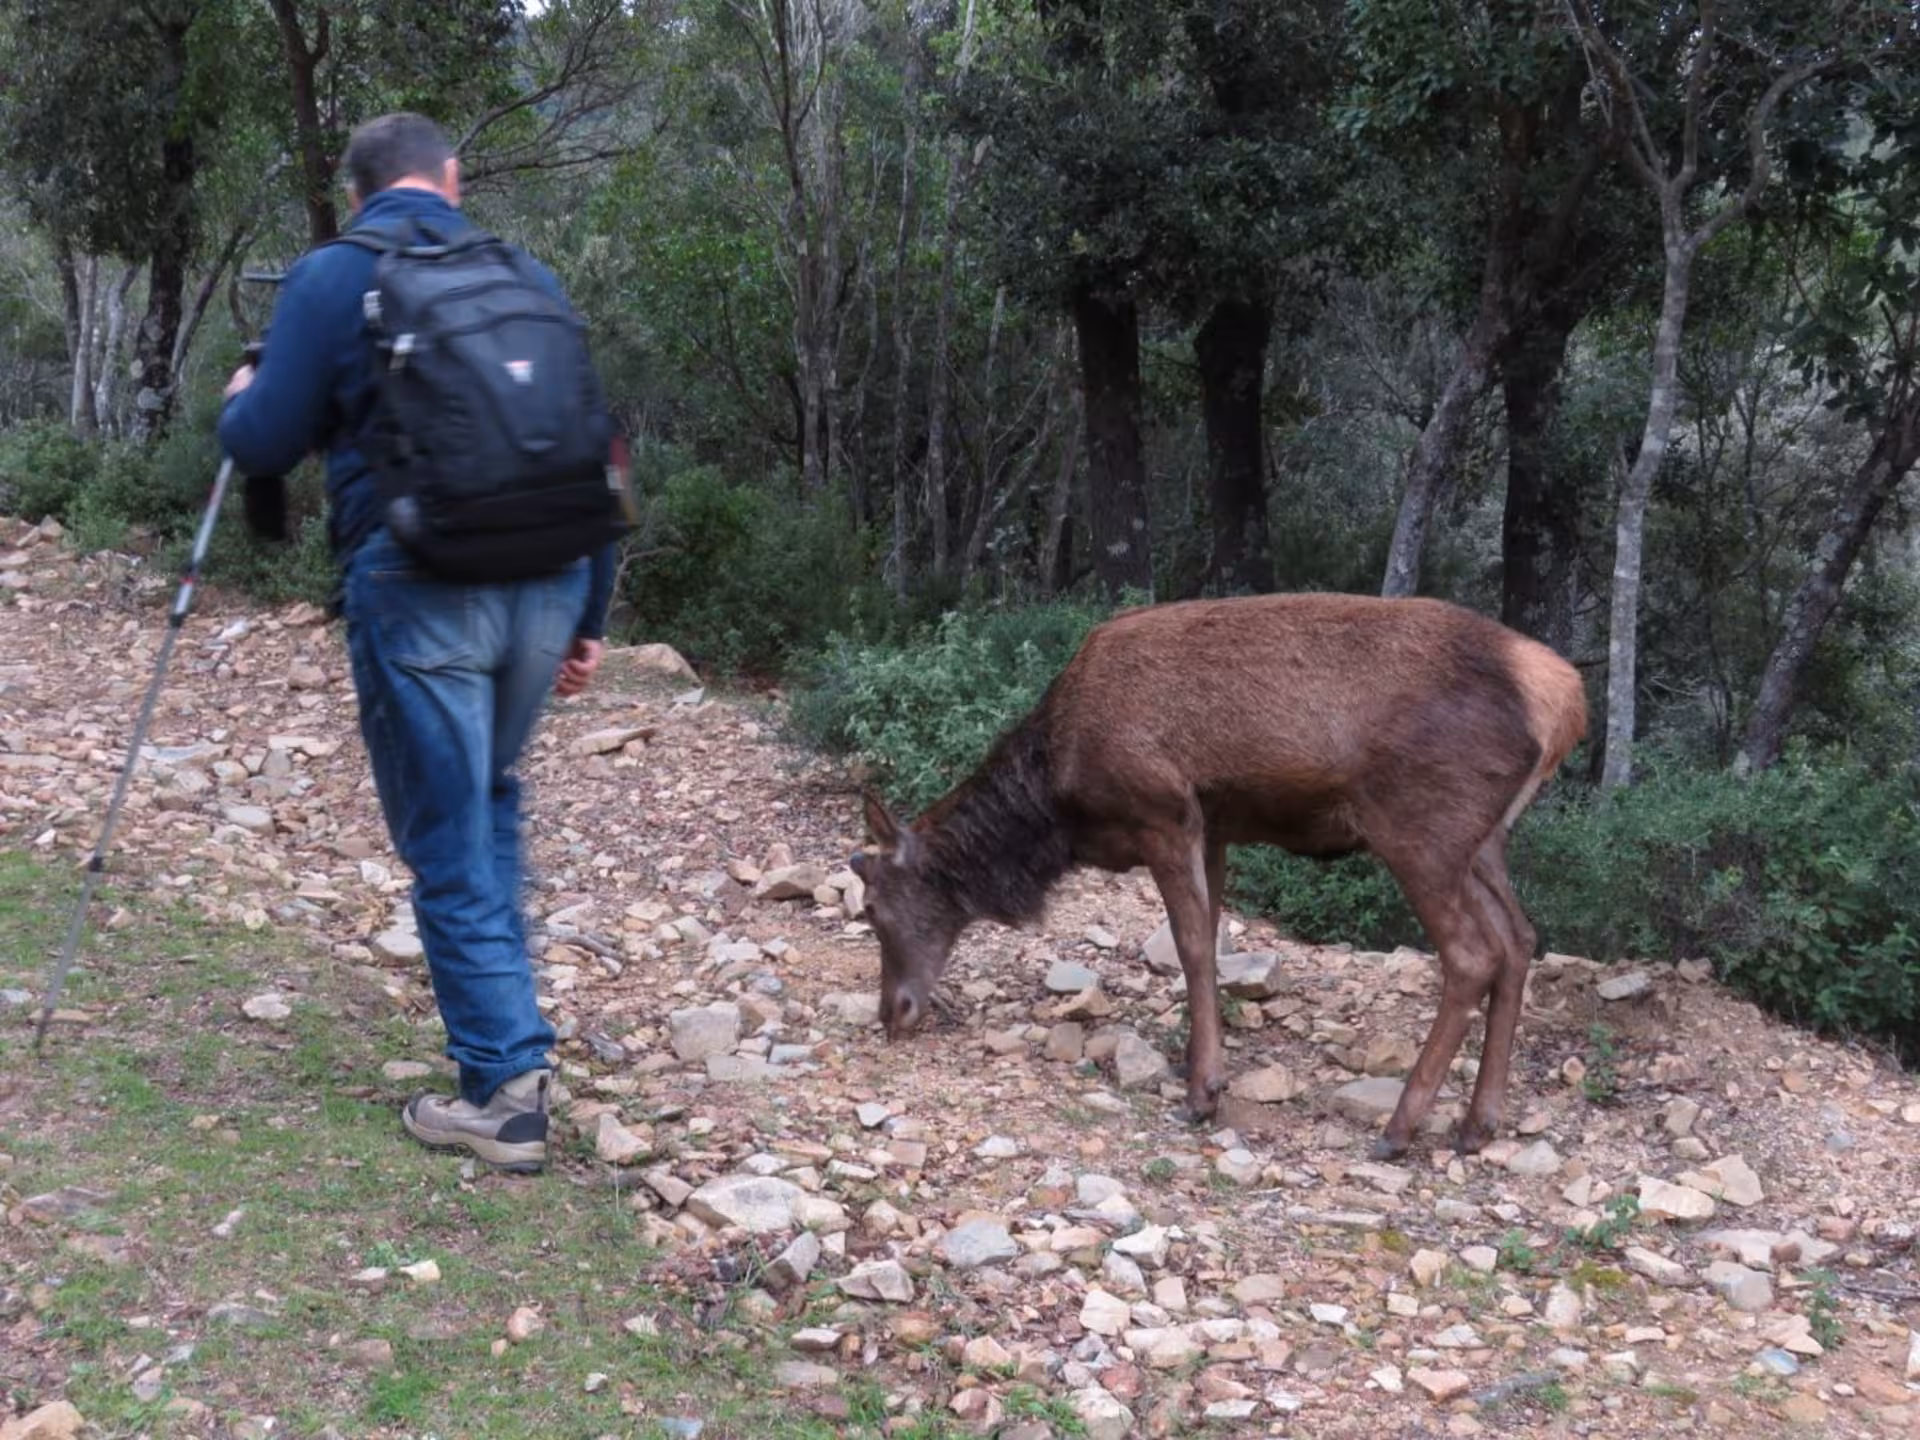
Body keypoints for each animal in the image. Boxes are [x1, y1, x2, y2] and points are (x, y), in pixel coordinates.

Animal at [847, 592, 1588, 1160]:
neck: (1060, 802)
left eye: (874, 907)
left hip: (1420, 825)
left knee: (1472, 954)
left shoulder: (1163, 812)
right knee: (1520, 939)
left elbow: (1194, 946)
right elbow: (1209, 936)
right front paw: (1192, 1063)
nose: (892, 1012)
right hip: (1483, 841)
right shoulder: (1217, 826)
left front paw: (1202, 1092)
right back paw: (1477, 1123)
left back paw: (1400, 1127)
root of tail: (1564, 700)